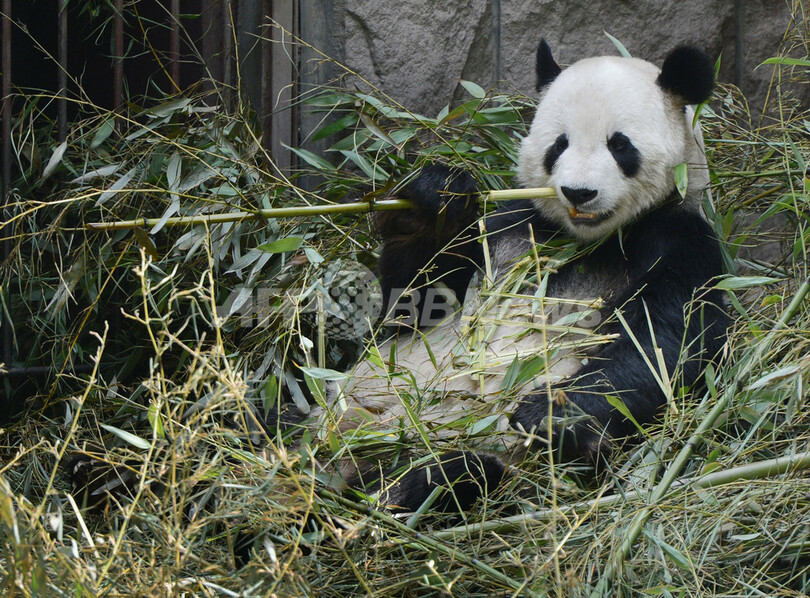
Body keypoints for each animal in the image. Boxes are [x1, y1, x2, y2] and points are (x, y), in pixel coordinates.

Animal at [312, 40, 729, 513]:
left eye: (619, 145)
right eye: (559, 144)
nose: (579, 192)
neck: (585, 239)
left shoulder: (678, 236)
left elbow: (668, 340)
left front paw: (547, 412)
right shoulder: (511, 226)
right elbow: (412, 305)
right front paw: (435, 200)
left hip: (484, 456)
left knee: (459, 474)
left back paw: (396, 488)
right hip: (346, 400)